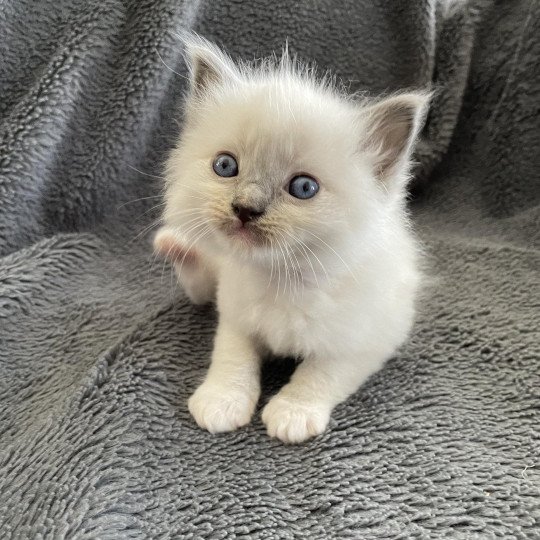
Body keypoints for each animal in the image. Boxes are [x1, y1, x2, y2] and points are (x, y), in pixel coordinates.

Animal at [154, 37, 428, 442]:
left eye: (303, 188)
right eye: (226, 166)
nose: (245, 208)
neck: (282, 278)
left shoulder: (368, 338)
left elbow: (320, 374)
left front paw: (292, 413)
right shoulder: (236, 316)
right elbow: (232, 358)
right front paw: (222, 401)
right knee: (199, 284)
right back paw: (175, 245)